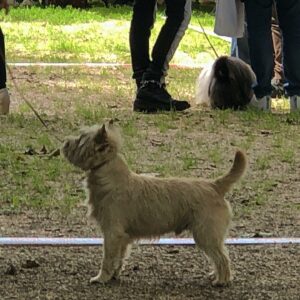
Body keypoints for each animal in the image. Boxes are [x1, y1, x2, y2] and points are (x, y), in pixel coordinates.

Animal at [61, 121, 246, 286]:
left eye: (80, 139)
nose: (65, 142)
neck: (108, 172)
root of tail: (215, 185)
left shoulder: (112, 233)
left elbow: (108, 259)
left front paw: (101, 278)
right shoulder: (122, 237)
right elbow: (119, 258)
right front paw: (114, 275)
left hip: (205, 234)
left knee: (222, 257)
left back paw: (221, 281)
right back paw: (215, 275)